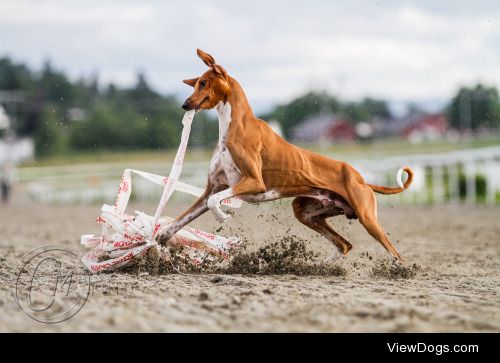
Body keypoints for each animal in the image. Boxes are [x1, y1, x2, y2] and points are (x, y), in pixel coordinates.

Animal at [157, 49, 414, 262]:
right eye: (194, 85)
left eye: (203, 83)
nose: (184, 104)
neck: (233, 126)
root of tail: (362, 179)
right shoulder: (213, 188)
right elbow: (181, 219)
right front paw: (161, 237)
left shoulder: (253, 182)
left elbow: (214, 203)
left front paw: (222, 216)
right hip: (305, 212)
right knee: (345, 245)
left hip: (367, 219)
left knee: (394, 253)